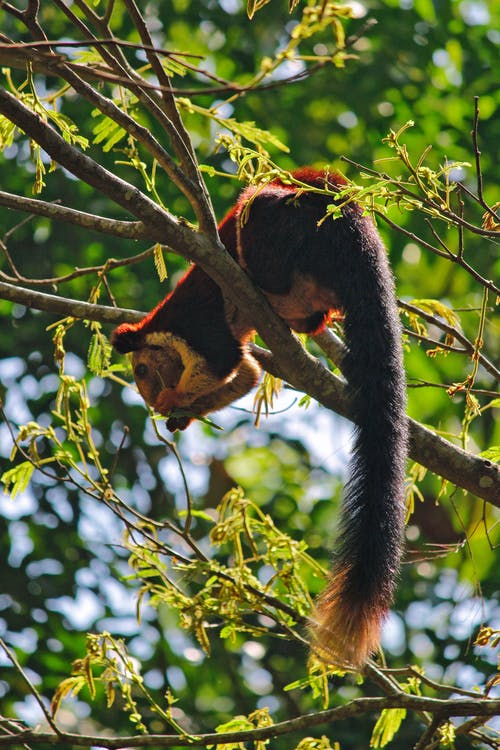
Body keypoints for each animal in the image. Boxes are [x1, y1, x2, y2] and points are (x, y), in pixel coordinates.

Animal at [111, 170, 408, 668]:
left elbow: (223, 364)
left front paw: (175, 401)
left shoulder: (200, 331)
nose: (153, 404)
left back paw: (259, 280)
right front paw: (182, 416)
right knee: (312, 315)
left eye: (142, 372)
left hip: (277, 220)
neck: (161, 329)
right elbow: (247, 374)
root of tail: (353, 219)